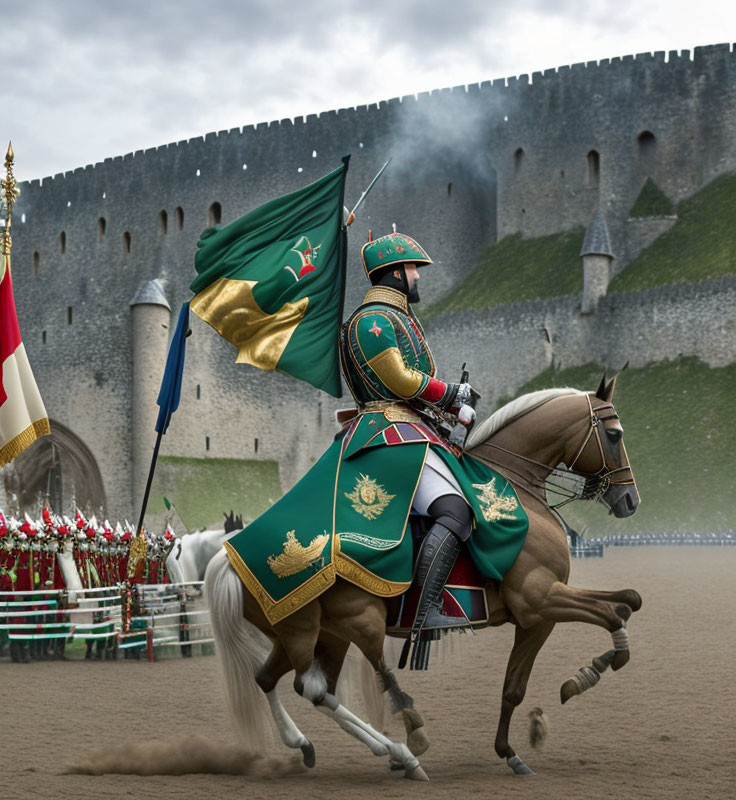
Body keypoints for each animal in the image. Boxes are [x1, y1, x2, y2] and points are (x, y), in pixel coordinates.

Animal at [206, 376, 640, 780]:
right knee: (338, 683)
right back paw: (407, 744)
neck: (516, 492)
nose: (630, 500)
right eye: (614, 434)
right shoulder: (539, 602)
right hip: (351, 622)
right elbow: (605, 620)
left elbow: (627, 602)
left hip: (316, 634)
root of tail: (231, 556)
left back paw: (321, 745)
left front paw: (513, 748)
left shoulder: (540, 608)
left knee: (281, 682)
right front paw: (584, 678)